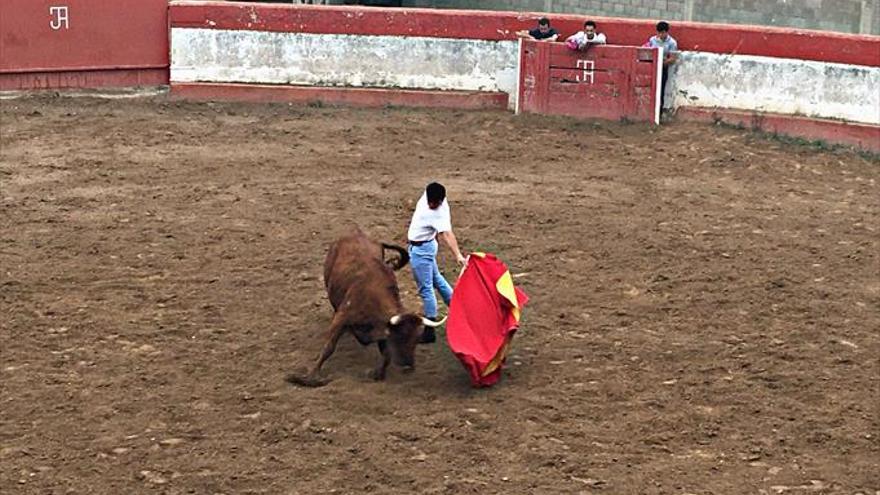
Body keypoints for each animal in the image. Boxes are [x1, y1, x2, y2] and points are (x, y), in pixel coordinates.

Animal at [288, 228, 444, 388]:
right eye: (401, 336)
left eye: (416, 339)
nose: (408, 365)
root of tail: (354, 233)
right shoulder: (342, 318)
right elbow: (328, 348)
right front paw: (309, 378)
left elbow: (387, 354)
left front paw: (378, 374)